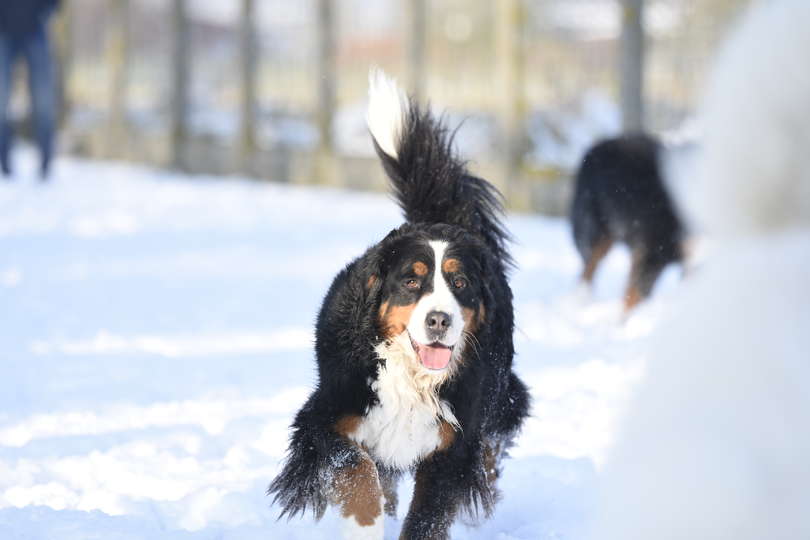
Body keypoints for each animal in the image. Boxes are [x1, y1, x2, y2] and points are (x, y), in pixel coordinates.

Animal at [268, 70, 530, 539]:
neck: (411, 380)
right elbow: (358, 473)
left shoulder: (451, 446)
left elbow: (429, 515)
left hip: (498, 393)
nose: (439, 320)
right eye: (411, 281)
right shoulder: (325, 419)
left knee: (492, 444)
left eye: (460, 283)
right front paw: (368, 525)